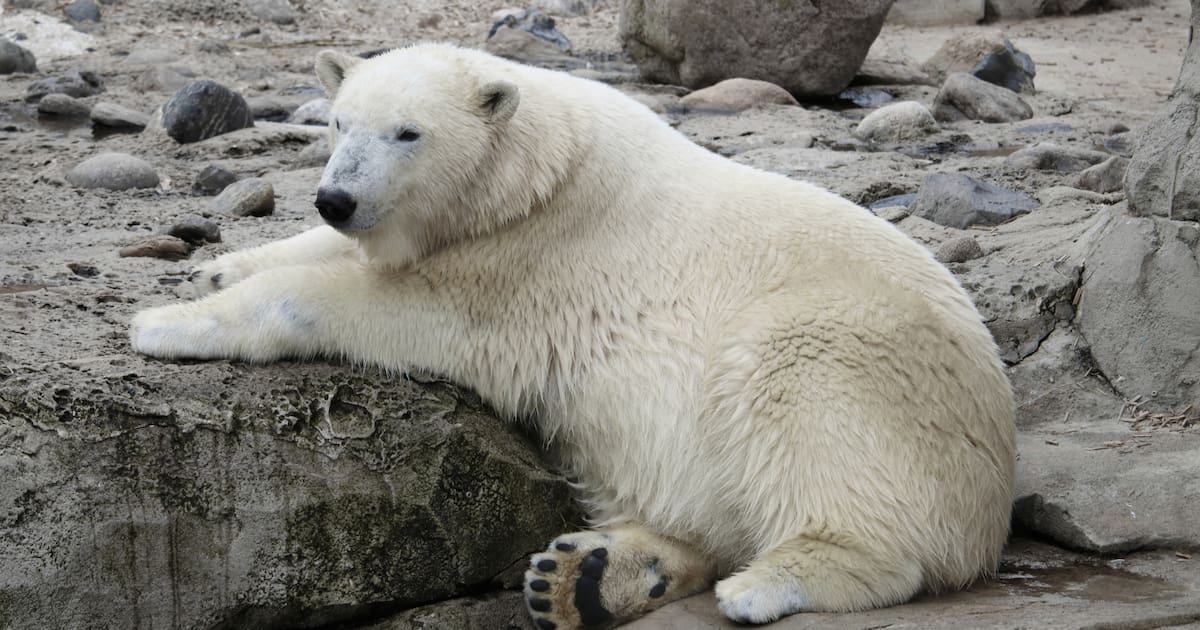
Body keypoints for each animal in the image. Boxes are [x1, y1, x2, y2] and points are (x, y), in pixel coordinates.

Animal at [129, 43, 1016, 629]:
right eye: (339, 122)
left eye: (408, 132)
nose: (335, 198)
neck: (536, 171)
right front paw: (216, 268)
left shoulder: (527, 267)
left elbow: (389, 306)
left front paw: (163, 323)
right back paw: (586, 576)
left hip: (850, 354)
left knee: (810, 422)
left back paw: (763, 583)